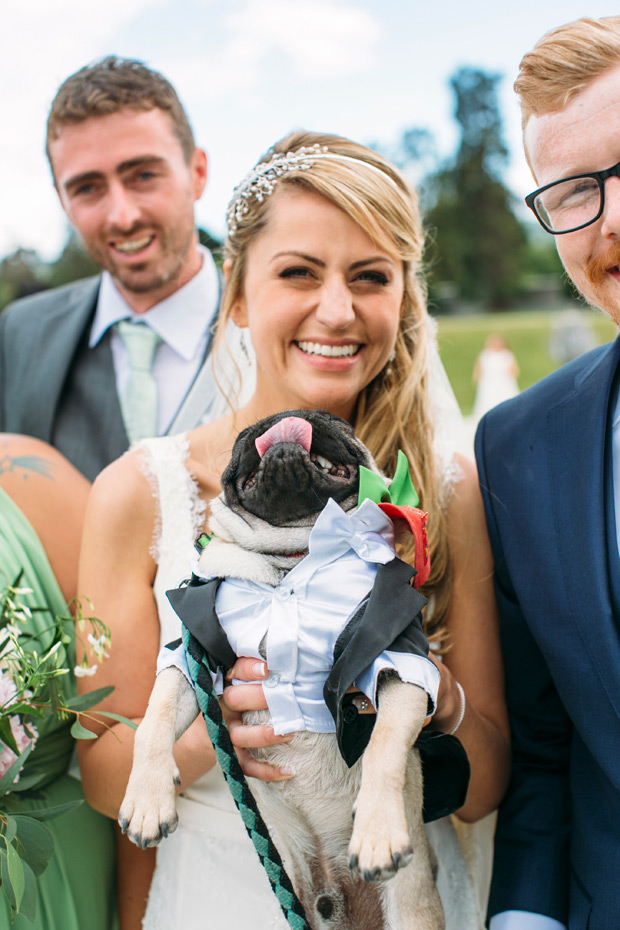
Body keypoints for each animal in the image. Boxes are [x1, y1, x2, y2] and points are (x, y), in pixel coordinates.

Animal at [117, 410, 470, 928]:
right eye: (243, 432)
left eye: (339, 422)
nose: (281, 420)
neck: (294, 556)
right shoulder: (190, 655)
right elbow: (153, 722)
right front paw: (146, 800)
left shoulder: (396, 659)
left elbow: (384, 746)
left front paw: (377, 830)